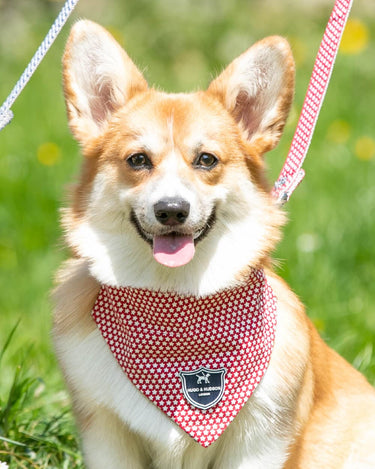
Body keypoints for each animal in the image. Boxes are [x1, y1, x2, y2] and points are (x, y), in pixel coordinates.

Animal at [52, 19, 375, 468]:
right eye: (138, 160)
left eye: (206, 160)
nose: (172, 210)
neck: (178, 301)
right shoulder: (106, 432)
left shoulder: (258, 440)